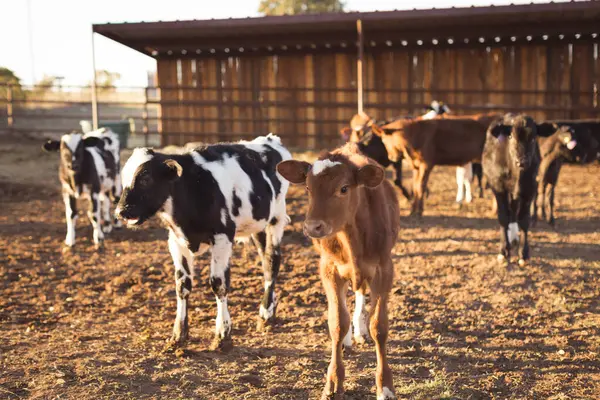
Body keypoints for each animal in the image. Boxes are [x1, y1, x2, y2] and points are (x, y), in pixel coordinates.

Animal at [116, 134, 292, 346]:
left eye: (145, 178)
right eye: (123, 178)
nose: (121, 211)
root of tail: (270, 140)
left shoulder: (223, 237)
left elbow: (219, 284)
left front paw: (223, 333)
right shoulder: (175, 241)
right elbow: (182, 285)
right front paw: (179, 333)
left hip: (276, 218)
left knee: (272, 261)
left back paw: (265, 314)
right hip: (258, 226)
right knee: (265, 262)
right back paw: (269, 311)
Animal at [278, 144, 400, 400]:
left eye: (343, 188)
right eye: (308, 187)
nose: (313, 226)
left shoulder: (384, 269)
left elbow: (379, 326)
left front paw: (385, 386)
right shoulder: (329, 269)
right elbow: (336, 322)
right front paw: (333, 383)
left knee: (361, 293)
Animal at [372, 114, 500, 216]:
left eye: (384, 141)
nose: (391, 158)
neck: (416, 134)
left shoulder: (426, 164)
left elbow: (421, 186)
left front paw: (419, 211)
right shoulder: (416, 166)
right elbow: (415, 186)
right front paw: (413, 210)